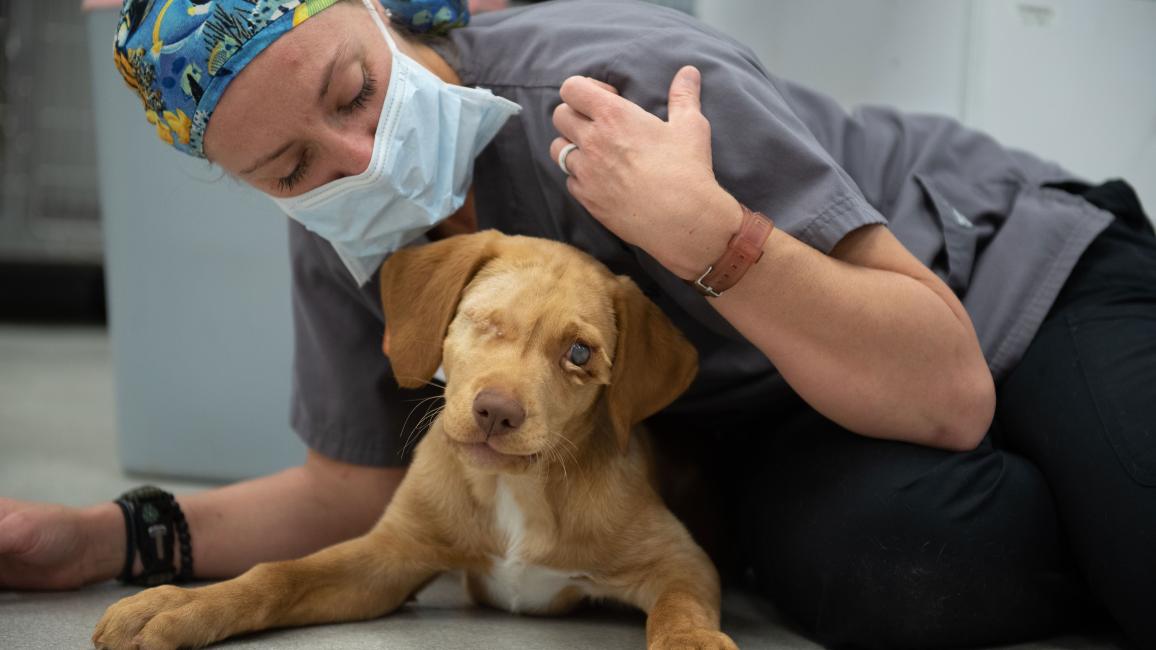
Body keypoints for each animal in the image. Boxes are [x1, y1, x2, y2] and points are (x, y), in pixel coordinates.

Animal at [94, 231, 735, 647]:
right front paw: (182, 604)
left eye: (579, 354)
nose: (495, 413)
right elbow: (280, 573)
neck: (515, 491)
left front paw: (692, 643)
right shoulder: (390, 555)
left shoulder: (682, 561)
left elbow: (680, 612)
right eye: (481, 319)